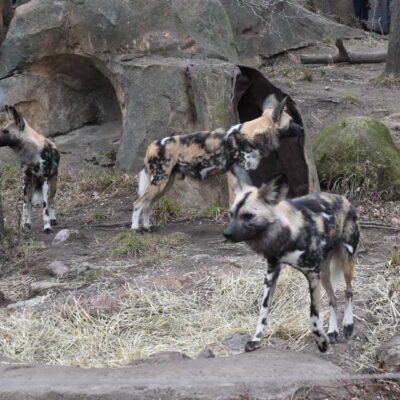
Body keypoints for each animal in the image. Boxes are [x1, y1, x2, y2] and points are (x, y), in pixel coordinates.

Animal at [0, 104, 59, 233]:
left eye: (6, 131)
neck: (29, 153)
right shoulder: (26, 179)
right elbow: (26, 205)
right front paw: (23, 224)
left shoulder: (44, 180)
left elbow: (45, 207)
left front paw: (47, 226)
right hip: (29, 185)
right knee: (29, 202)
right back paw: (28, 223)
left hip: (53, 183)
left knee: (51, 200)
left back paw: (53, 219)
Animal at [131, 94, 304, 231]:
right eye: (291, 121)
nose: (302, 129)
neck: (253, 135)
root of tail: (153, 145)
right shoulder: (234, 173)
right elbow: (235, 199)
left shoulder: (241, 173)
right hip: (159, 183)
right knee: (138, 203)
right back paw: (135, 229)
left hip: (164, 185)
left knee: (147, 206)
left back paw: (147, 227)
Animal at [225, 175, 360, 354]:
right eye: (231, 214)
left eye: (248, 215)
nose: (226, 234)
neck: (286, 236)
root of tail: (344, 199)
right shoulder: (272, 271)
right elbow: (263, 309)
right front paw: (256, 340)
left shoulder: (312, 274)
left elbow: (313, 317)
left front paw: (321, 342)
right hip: (325, 273)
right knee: (333, 299)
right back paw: (332, 331)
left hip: (346, 262)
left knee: (348, 291)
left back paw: (348, 325)